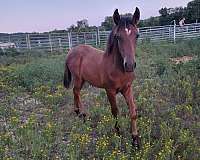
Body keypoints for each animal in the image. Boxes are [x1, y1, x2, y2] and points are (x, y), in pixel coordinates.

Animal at [64, 7, 141, 148]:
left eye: (137, 35)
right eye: (117, 36)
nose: (129, 65)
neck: (117, 68)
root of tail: (71, 51)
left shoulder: (127, 88)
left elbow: (133, 112)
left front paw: (135, 140)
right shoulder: (109, 91)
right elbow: (115, 111)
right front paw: (118, 133)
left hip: (82, 80)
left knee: (76, 92)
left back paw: (80, 113)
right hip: (78, 78)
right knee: (76, 92)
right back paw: (81, 114)